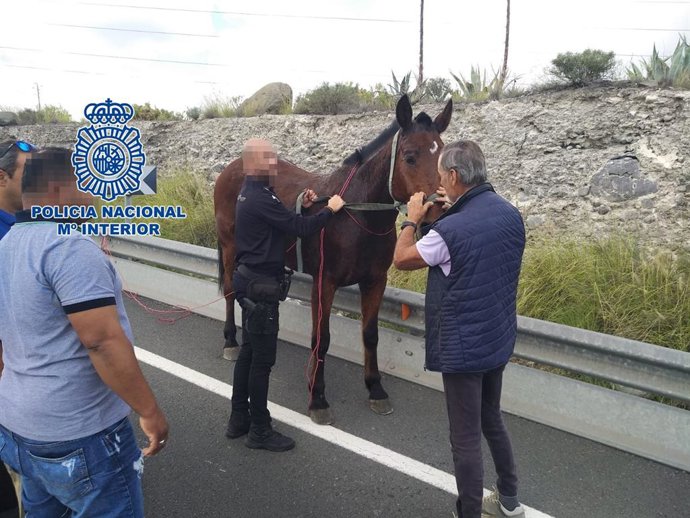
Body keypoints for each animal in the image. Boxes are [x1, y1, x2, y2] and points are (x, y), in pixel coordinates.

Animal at [214, 94, 453, 424]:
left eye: (442, 155)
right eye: (410, 156)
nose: (437, 212)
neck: (355, 213)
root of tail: (232, 169)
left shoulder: (375, 282)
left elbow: (370, 334)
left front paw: (375, 389)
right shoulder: (324, 283)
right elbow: (322, 338)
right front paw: (318, 397)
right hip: (229, 247)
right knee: (229, 291)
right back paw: (229, 341)